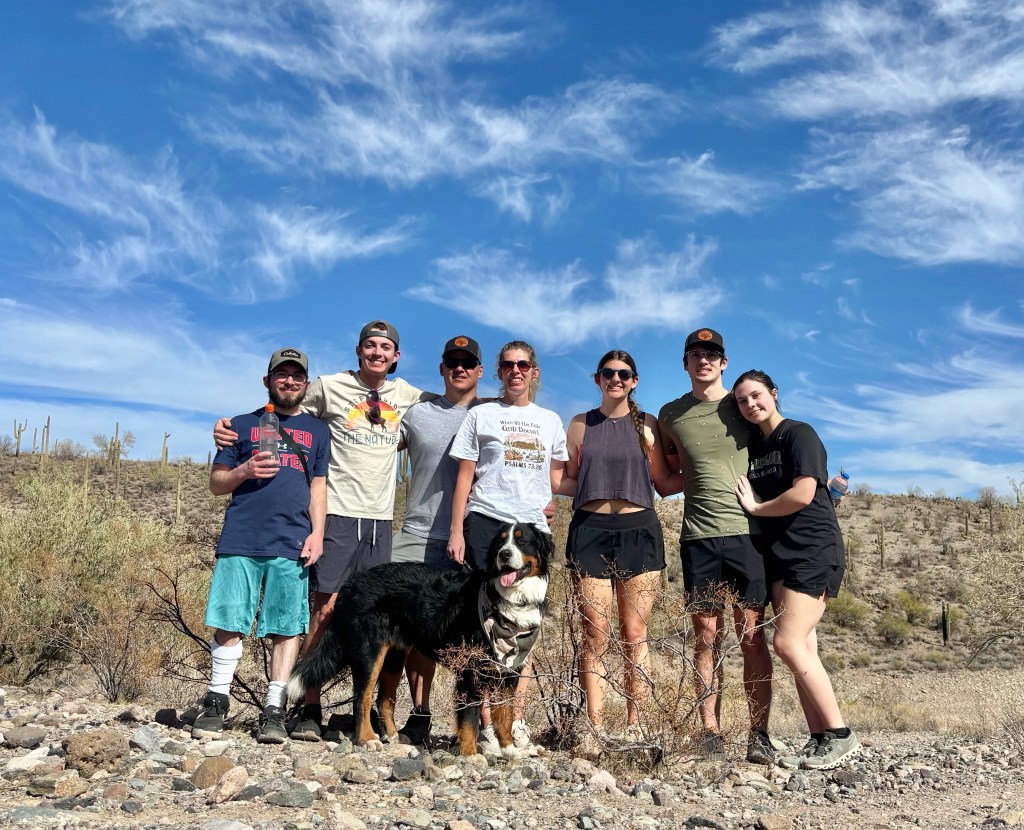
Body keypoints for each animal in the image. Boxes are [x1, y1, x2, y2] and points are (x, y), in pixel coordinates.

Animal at [287, 522, 552, 757]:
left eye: (522, 540)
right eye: (500, 542)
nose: (504, 554)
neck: (506, 598)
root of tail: (350, 583)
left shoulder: (508, 671)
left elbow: (504, 713)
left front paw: (509, 750)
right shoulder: (470, 668)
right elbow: (469, 716)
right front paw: (470, 754)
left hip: (393, 656)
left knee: (384, 699)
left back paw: (392, 735)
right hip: (370, 653)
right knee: (361, 697)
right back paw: (368, 739)